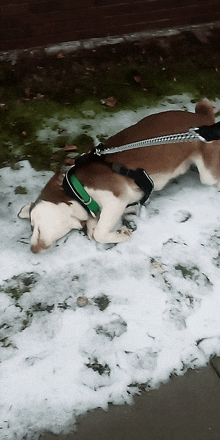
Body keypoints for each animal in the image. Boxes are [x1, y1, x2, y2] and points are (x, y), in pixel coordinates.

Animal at [18, 99, 218, 251]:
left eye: (33, 226)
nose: (33, 250)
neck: (76, 192)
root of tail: (204, 118)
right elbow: (95, 230)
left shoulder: (115, 198)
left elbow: (99, 233)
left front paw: (121, 234)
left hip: (208, 173)